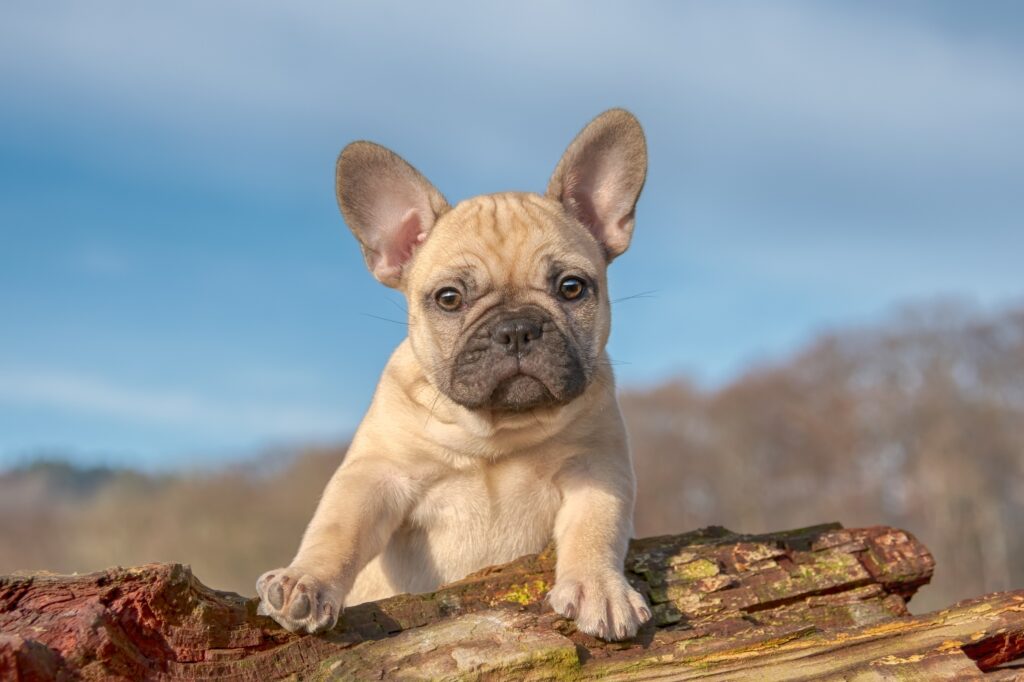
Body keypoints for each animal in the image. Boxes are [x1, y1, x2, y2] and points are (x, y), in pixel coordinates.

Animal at [254, 107, 647, 638]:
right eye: (449, 298)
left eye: (571, 288)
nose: (517, 329)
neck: (497, 435)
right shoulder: (375, 475)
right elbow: (338, 529)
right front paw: (306, 580)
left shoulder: (597, 469)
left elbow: (595, 527)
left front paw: (599, 587)